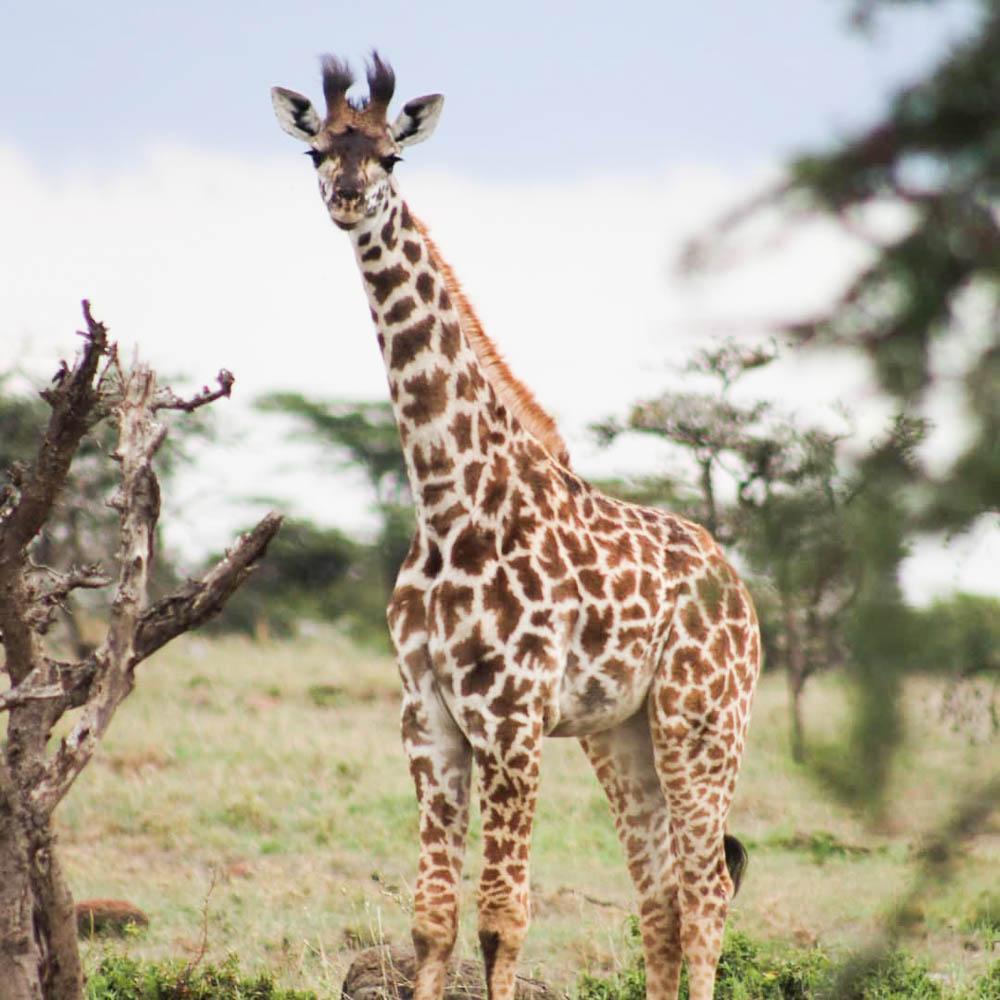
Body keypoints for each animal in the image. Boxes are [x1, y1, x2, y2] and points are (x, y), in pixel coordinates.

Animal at [270, 52, 760, 1000]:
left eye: (391, 156)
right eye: (318, 150)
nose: (347, 197)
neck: (449, 502)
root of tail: (742, 592)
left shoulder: (513, 717)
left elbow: (502, 922)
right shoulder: (426, 717)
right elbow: (433, 921)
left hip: (702, 719)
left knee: (708, 889)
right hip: (621, 734)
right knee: (660, 897)